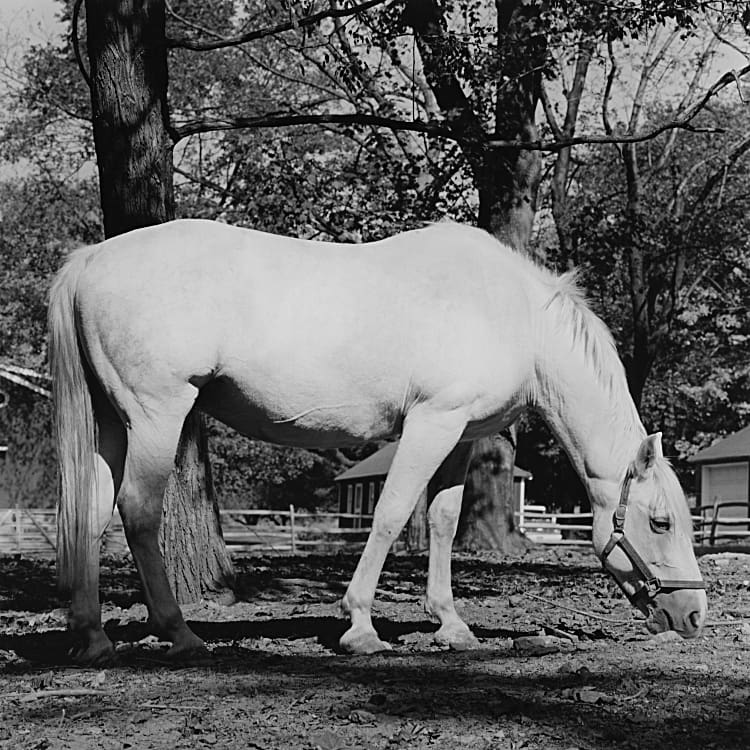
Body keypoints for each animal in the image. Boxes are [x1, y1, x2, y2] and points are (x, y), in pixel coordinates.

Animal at [48, 219, 707, 663]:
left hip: (113, 422)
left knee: (90, 511)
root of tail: (91, 259)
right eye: (662, 522)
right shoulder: (432, 424)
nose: (694, 614)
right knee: (138, 512)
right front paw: (360, 625)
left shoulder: (458, 436)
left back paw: (93, 637)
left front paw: (451, 625)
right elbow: (391, 515)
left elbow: (441, 521)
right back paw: (179, 634)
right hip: (156, 415)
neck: (513, 312)